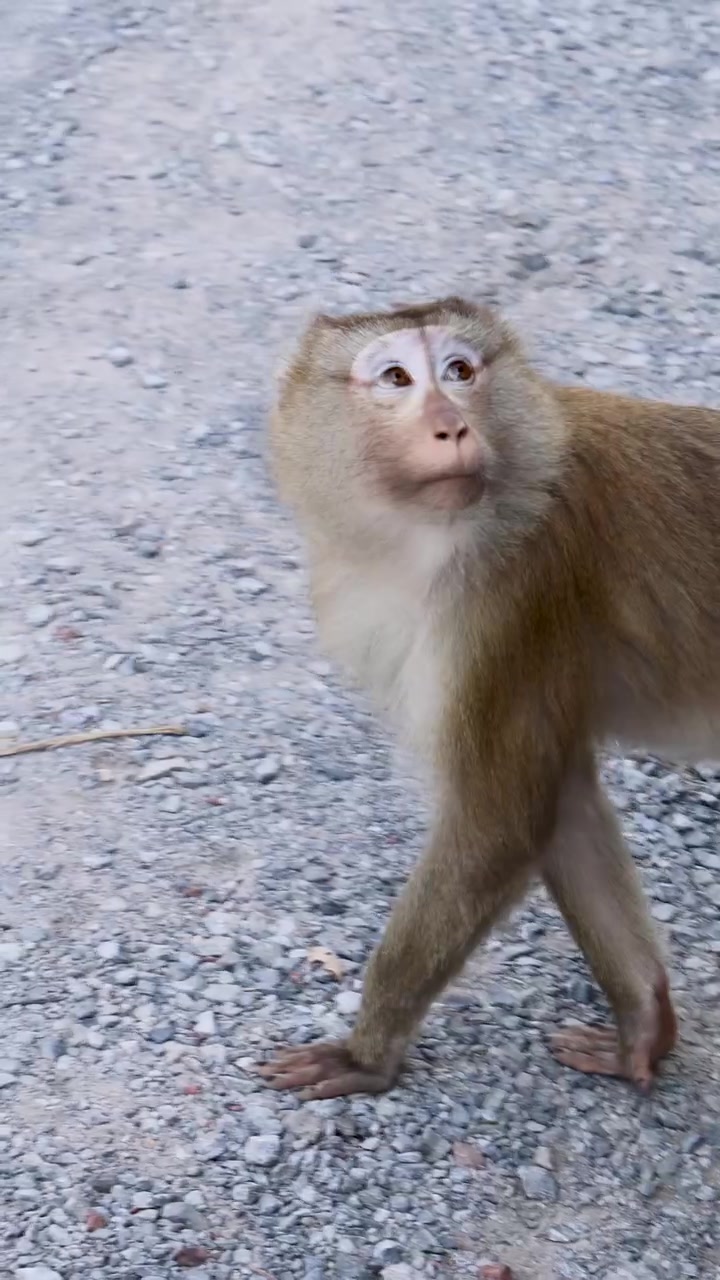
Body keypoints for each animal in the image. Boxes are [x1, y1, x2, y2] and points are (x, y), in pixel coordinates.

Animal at [259, 294, 720, 1102]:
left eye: (460, 371)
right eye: (397, 378)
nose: (451, 424)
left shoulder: (510, 596)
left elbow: (499, 820)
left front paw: (367, 1056)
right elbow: (559, 802)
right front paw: (644, 1028)